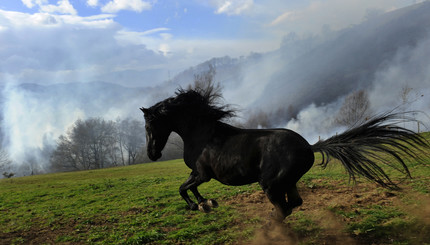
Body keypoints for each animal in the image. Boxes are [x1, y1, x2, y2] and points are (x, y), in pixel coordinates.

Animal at [140, 87, 426, 221]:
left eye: (149, 125)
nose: (152, 154)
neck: (203, 135)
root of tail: (308, 146)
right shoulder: (198, 174)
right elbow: (188, 187)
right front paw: (206, 203)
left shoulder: (202, 173)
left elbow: (183, 188)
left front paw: (198, 205)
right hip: (289, 182)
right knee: (294, 203)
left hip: (271, 184)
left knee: (284, 209)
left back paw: (270, 226)